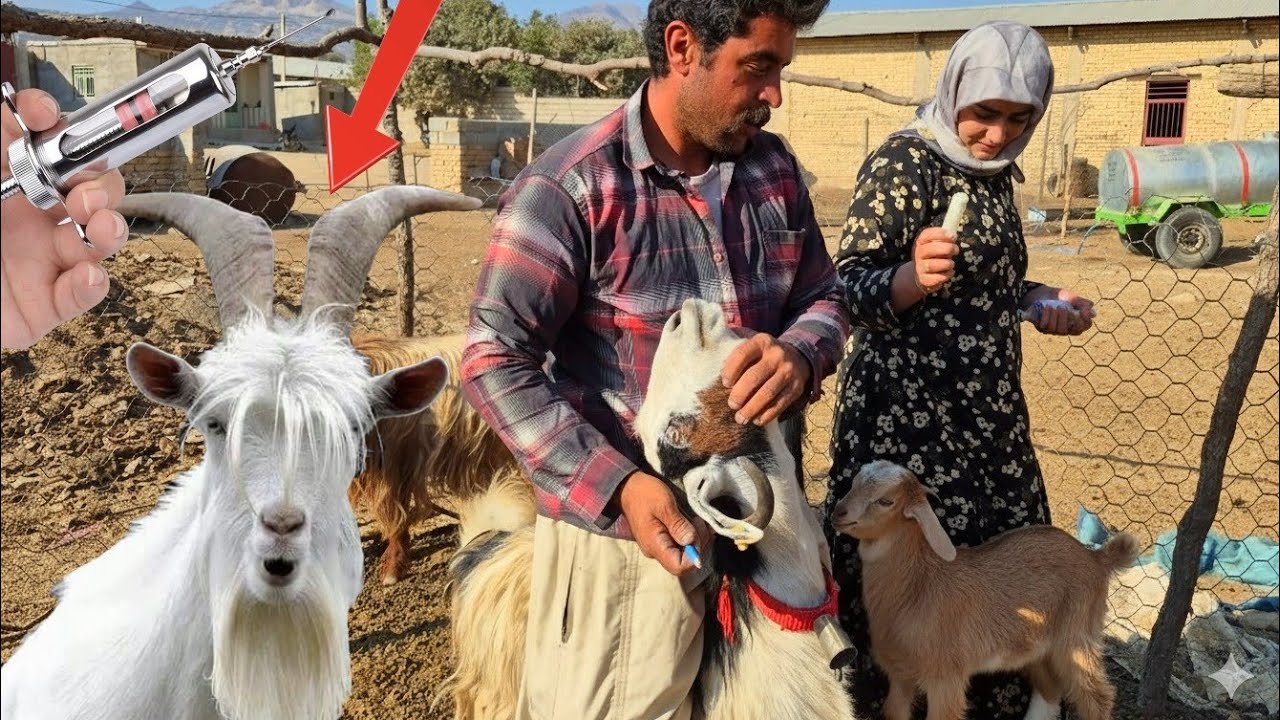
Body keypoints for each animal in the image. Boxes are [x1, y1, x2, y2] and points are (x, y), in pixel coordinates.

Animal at [829, 459, 1140, 720]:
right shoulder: (900, 675)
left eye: (886, 501)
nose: (837, 513)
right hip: (1037, 644)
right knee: (1050, 689)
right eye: (854, 482)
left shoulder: (946, 677)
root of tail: (1097, 558)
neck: (919, 585)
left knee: (1096, 696)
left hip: (1077, 635)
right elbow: (893, 712)